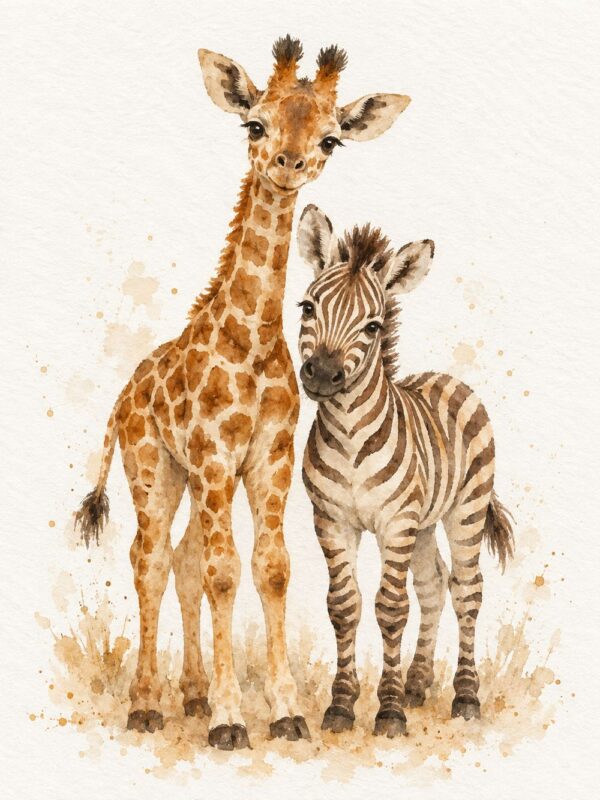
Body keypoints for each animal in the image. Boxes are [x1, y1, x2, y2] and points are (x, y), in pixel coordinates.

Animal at [75, 35, 411, 750]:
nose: (289, 163)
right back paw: (146, 705)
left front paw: (283, 712)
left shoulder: (267, 458)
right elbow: (226, 571)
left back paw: (192, 695)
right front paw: (232, 720)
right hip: (154, 468)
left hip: (191, 478)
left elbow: (270, 568)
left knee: (182, 559)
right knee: (149, 557)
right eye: (254, 124)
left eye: (331, 138)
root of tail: (122, 398)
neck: (252, 339)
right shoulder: (211, 456)